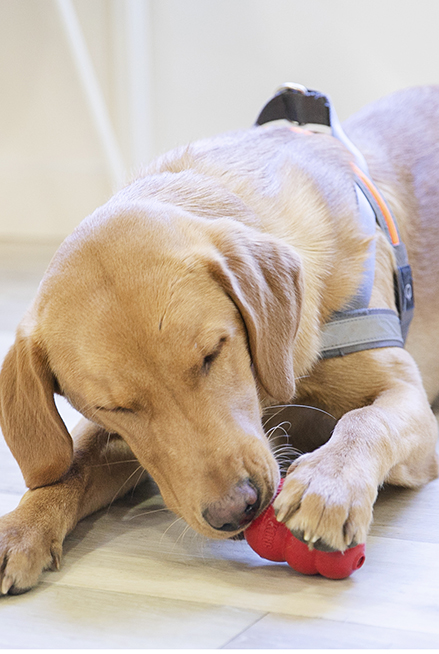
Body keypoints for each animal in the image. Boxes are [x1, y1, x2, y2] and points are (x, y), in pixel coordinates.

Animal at [0, 84, 439, 596]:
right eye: (115, 408)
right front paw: (22, 526)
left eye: (212, 353)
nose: (236, 510)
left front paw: (328, 484)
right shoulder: (122, 441)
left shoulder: (408, 400)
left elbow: (365, 421)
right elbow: (72, 464)